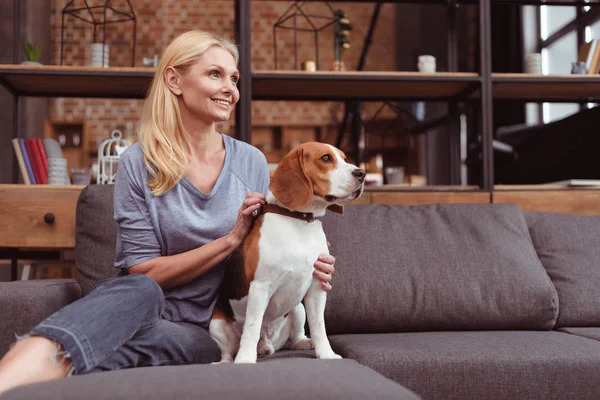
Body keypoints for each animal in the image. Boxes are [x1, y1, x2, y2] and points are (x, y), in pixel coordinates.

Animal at [206, 142, 366, 364]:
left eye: (344, 158)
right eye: (326, 158)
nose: (362, 173)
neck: (299, 221)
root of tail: (266, 344)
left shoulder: (317, 286)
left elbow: (319, 326)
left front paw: (326, 354)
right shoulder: (260, 287)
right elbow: (252, 327)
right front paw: (245, 360)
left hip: (298, 307)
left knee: (296, 335)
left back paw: (303, 342)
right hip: (217, 324)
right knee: (229, 350)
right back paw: (228, 361)